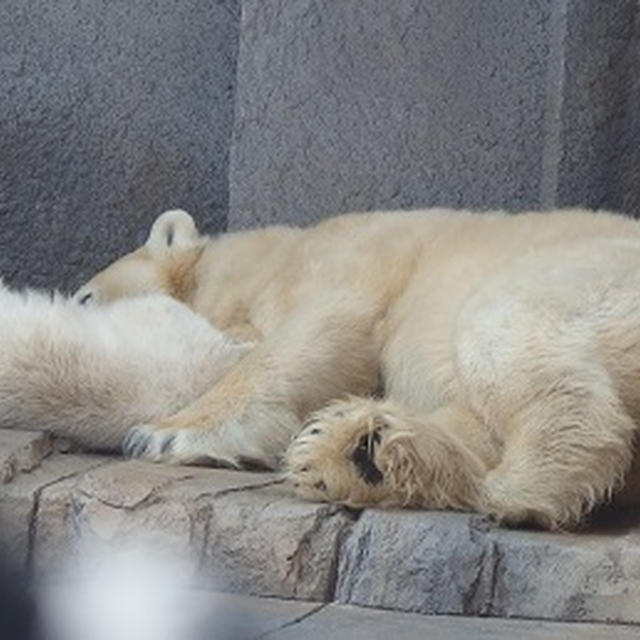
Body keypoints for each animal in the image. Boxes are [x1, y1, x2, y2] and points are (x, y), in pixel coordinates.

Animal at [75, 208, 640, 528]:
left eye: (83, 297)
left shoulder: (345, 257)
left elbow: (327, 325)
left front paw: (161, 432)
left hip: (579, 276)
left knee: (499, 329)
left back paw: (527, 483)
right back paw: (355, 453)